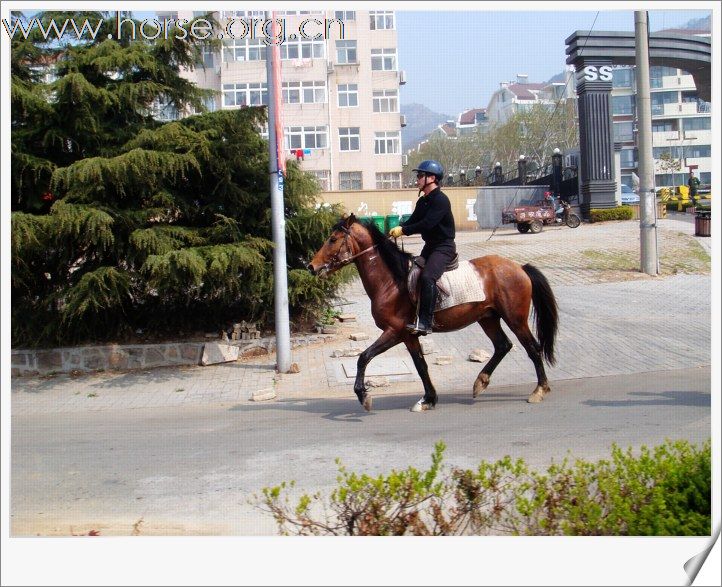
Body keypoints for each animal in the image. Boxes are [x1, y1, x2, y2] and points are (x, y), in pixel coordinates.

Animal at [306, 216, 556, 414]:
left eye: (333, 239)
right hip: (488, 318)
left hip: (515, 319)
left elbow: (364, 357)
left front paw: (363, 395)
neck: (391, 282)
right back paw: (480, 382)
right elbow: (421, 366)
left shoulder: (394, 331)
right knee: (503, 345)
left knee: (533, 348)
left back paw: (539, 390)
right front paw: (428, 399)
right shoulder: (408, 336)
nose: (311, 267)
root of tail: (519, 267)